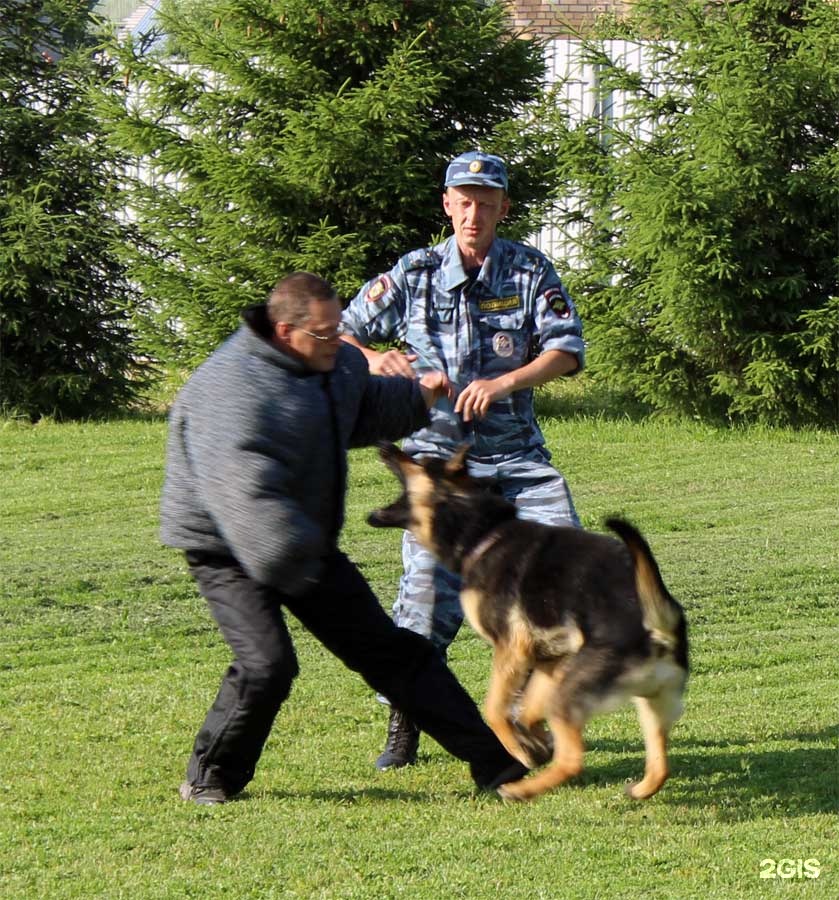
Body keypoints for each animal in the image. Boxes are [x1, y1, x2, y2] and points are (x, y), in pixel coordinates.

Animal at [368, 442, 688, 800]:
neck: (484, 533)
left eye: (418, 460)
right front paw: (534, 738)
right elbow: (528, 707)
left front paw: (522, 749)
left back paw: (521, 789)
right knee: (660, 766)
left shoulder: (512, 648)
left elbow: (494, 709)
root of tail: (658, 624)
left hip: (572, 697)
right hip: (650, 702)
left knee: (572, 760)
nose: (385, 445)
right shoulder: (549, 658)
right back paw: (639, 788)